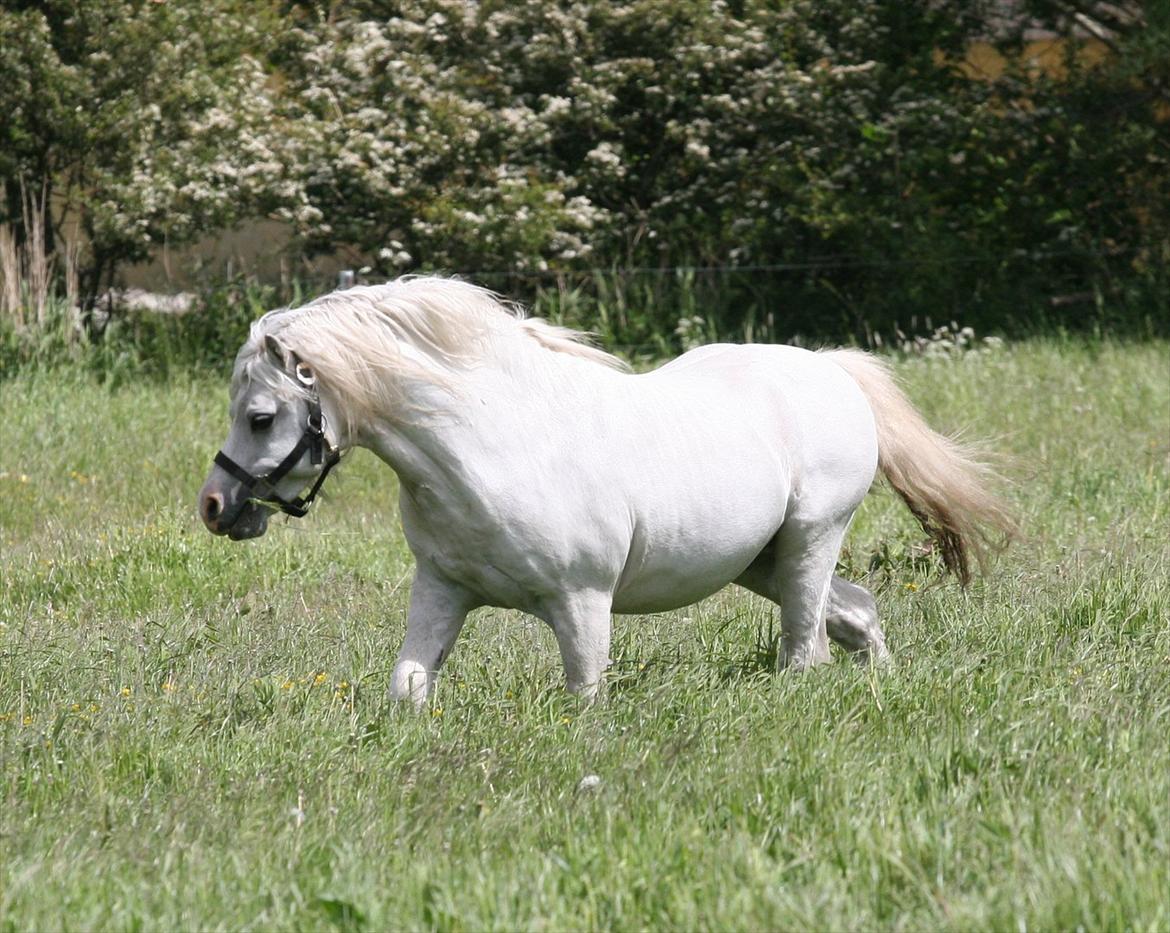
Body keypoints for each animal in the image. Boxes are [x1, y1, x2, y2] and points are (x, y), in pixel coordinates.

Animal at [196, 279, 1010, 702]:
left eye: (260, 416)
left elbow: (584, 694)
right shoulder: (442, 590)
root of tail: (833, 369)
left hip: (811, 541)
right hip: (761, 563)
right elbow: (408, 684)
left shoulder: (581, 602)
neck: (493, 447)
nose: (214, 507)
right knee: (857, 614)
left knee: (804, 652)